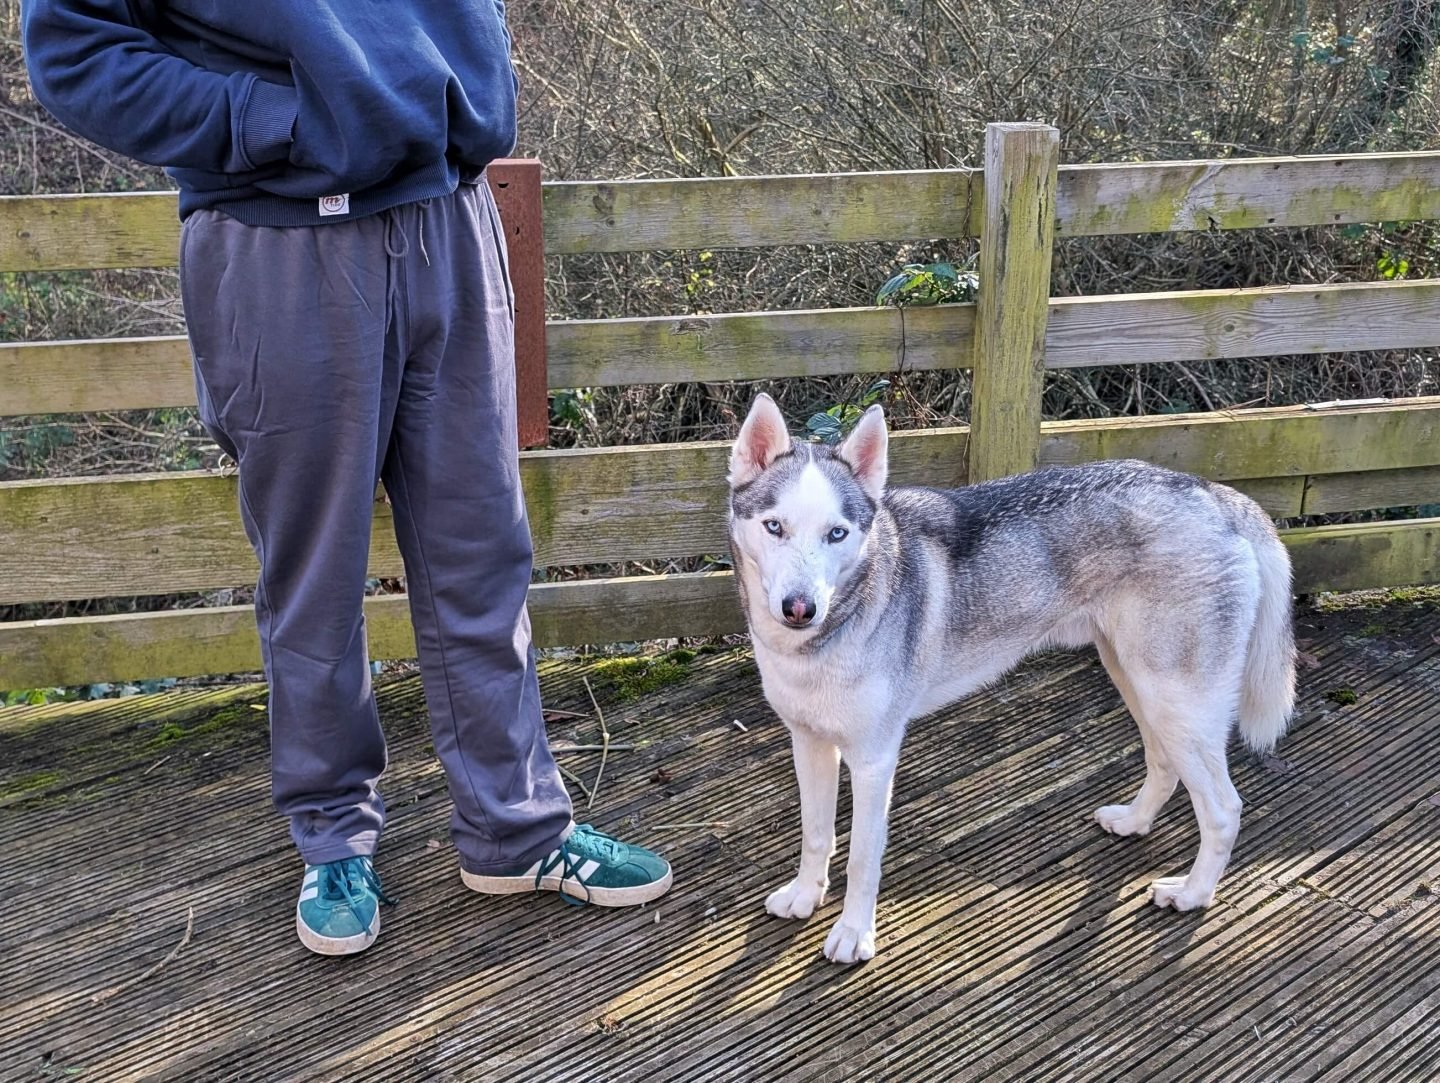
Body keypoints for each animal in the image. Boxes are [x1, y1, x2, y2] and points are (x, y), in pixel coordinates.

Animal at [725, 394, 1301, 962]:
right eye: (775, 527)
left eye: (836, 534)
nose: (799, 608)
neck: (819, 642)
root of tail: (1213, 493)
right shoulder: (809, 744)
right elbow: (816, 834)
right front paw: (805, 896)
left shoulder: (873, 760)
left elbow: (862, 858)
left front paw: (853, 934)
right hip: (1138, 684)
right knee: (1163, 764)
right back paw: (1135, 823)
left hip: (1177, 702)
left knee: (1224, 809)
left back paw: (1192, 894)